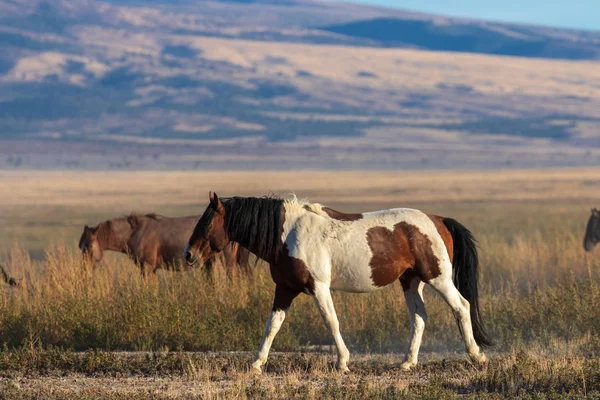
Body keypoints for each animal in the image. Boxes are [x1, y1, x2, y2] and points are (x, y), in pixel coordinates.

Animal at [79, 212, 248, 278]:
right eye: (80, 246)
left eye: (89, 246)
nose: (84, 269)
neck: (134, 233)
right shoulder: (151, 269)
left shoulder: (146, 268)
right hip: (210, 264)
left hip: (227, 263)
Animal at [184, 192, 492, 374]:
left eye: (207, 222)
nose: (189, 255)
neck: (288, 235)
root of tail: (438, 220)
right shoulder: (285, 289)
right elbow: (272, 325)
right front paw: (257, 363)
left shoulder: (318, 287)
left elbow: (331, 322)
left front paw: (343, 362)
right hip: (410, 281)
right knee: (419, 318)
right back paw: (407, 362)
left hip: (437, 278)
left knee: (461, 307)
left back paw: (476, 356)